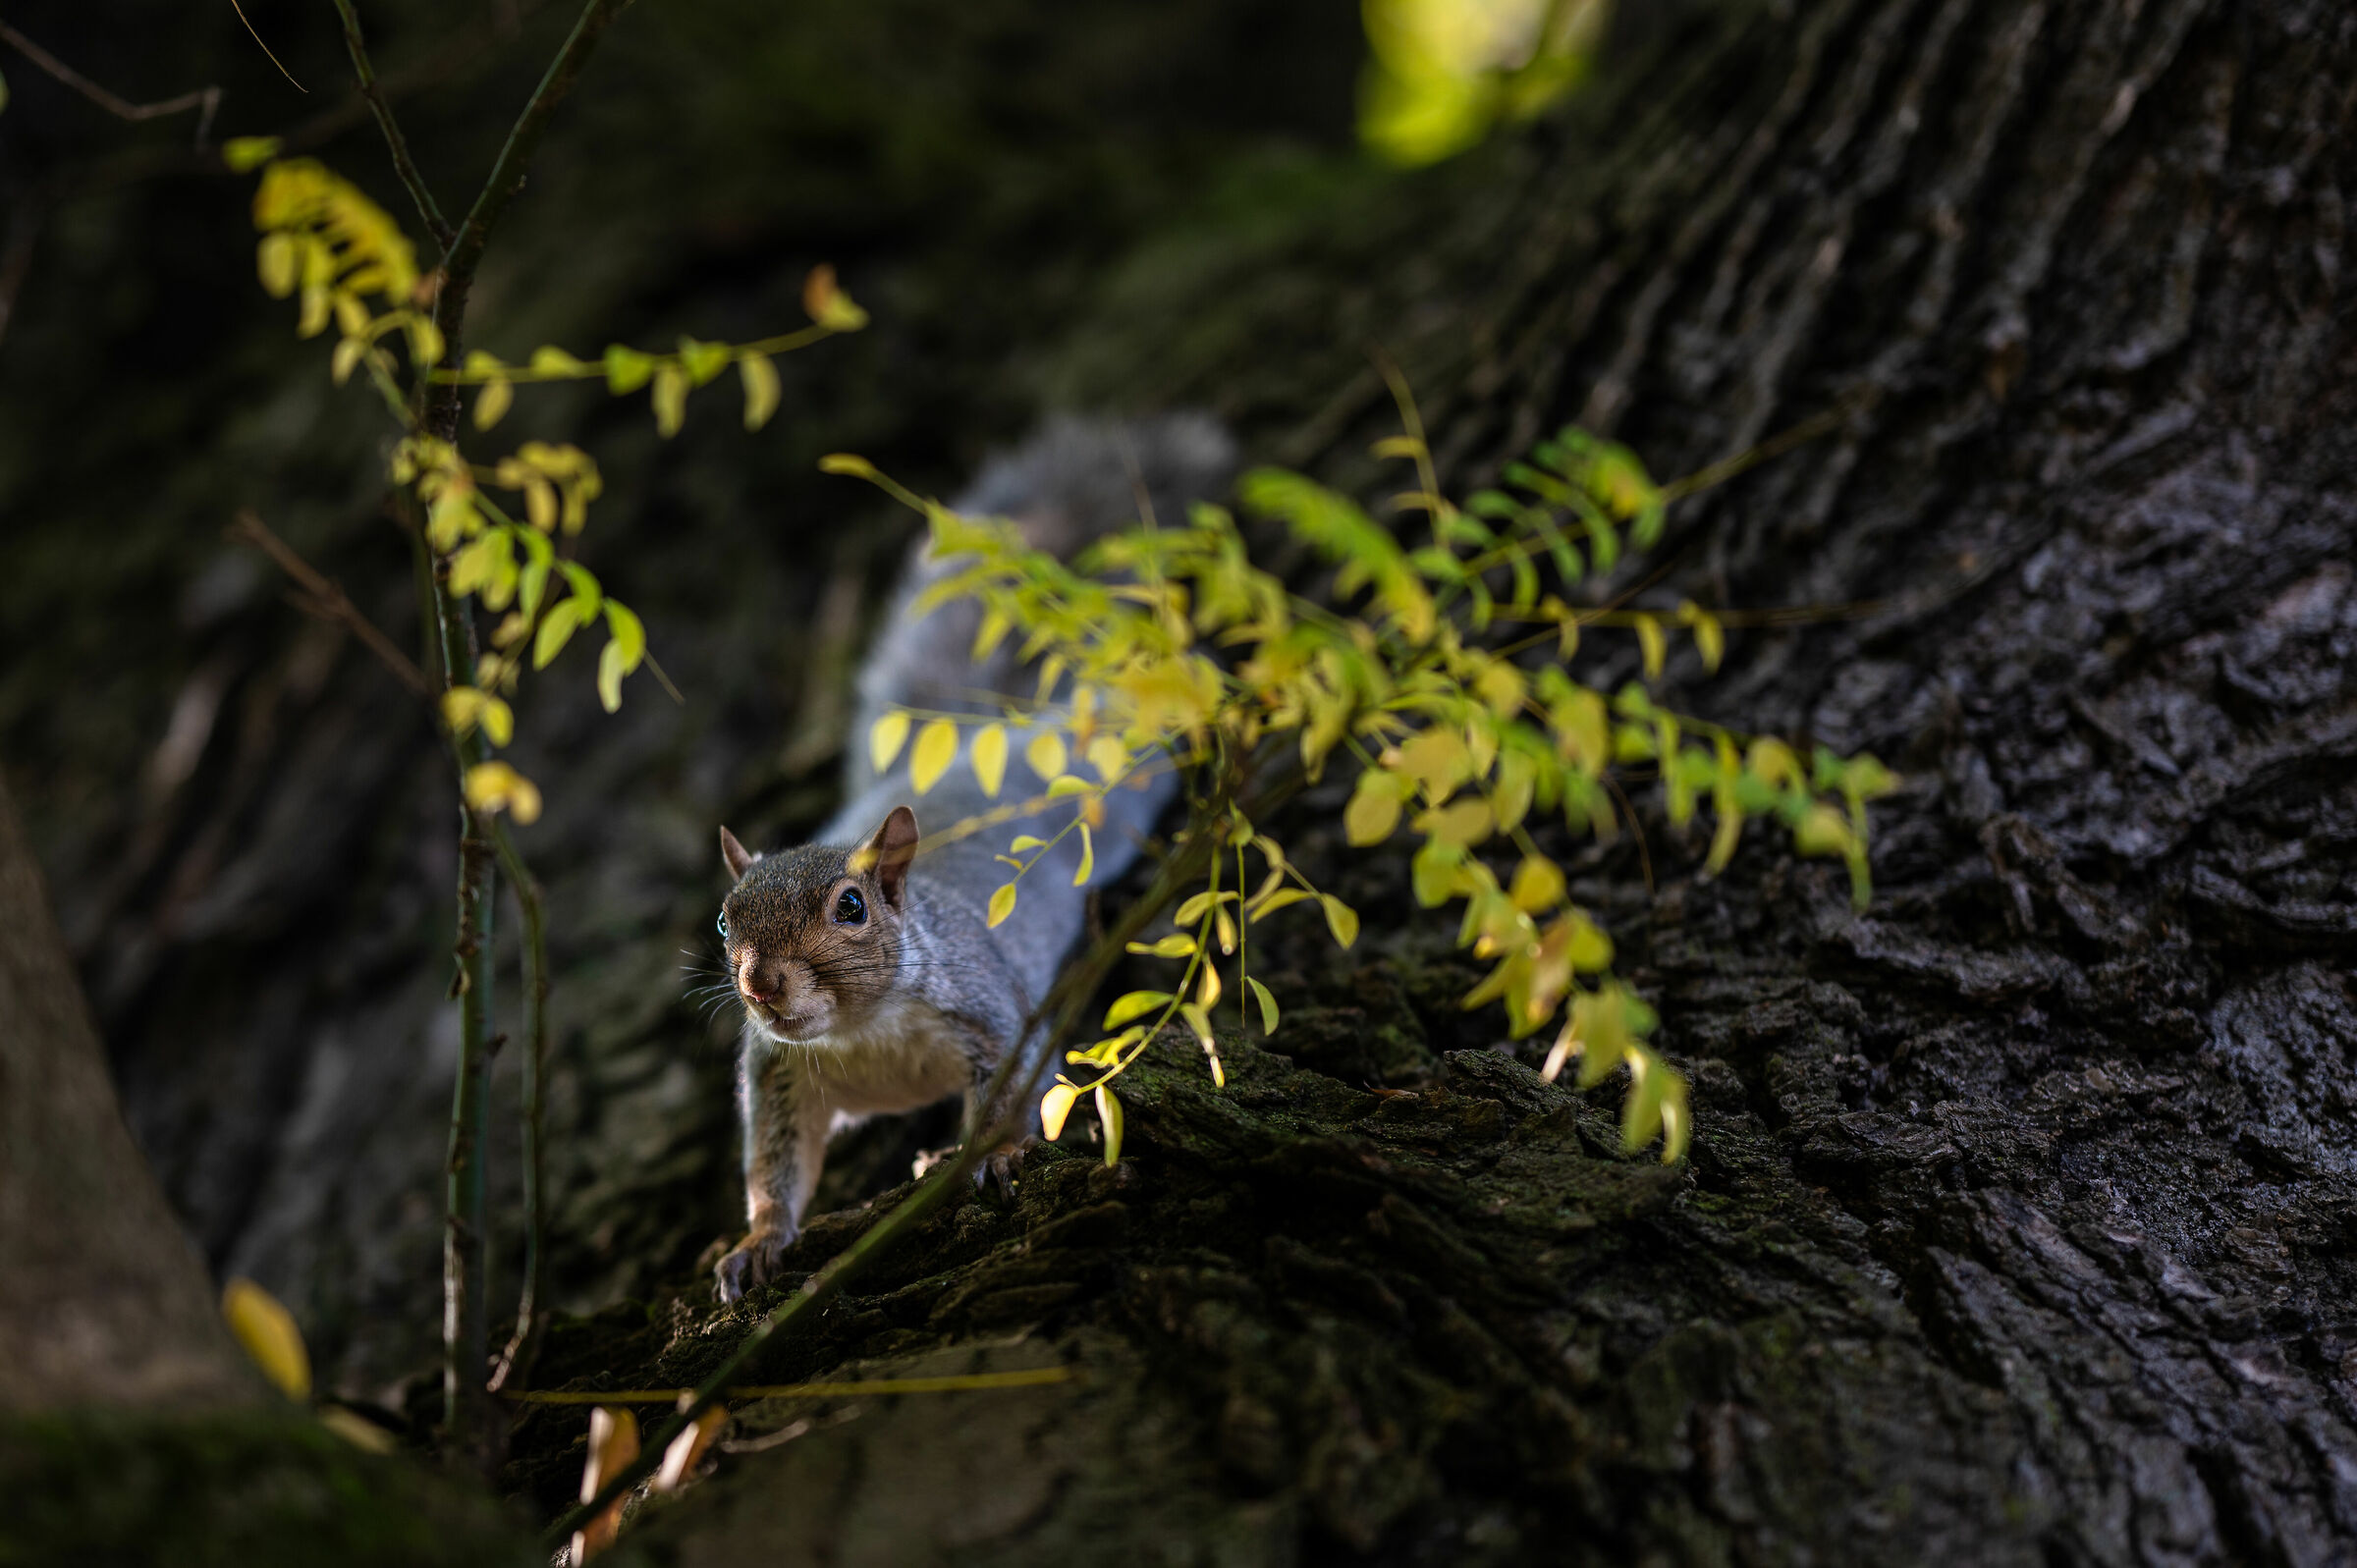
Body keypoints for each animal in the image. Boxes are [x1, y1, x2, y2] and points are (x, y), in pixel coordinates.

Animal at [709, 415, 1236, 1301]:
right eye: (724, 920)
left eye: (851, 907)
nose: (760, 983)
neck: (861, 1032)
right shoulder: (778, 1077)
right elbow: (773, 1168)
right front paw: (756, 1241)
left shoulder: (990, 1011)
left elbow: (1012, 1092)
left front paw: (1000, 1154)